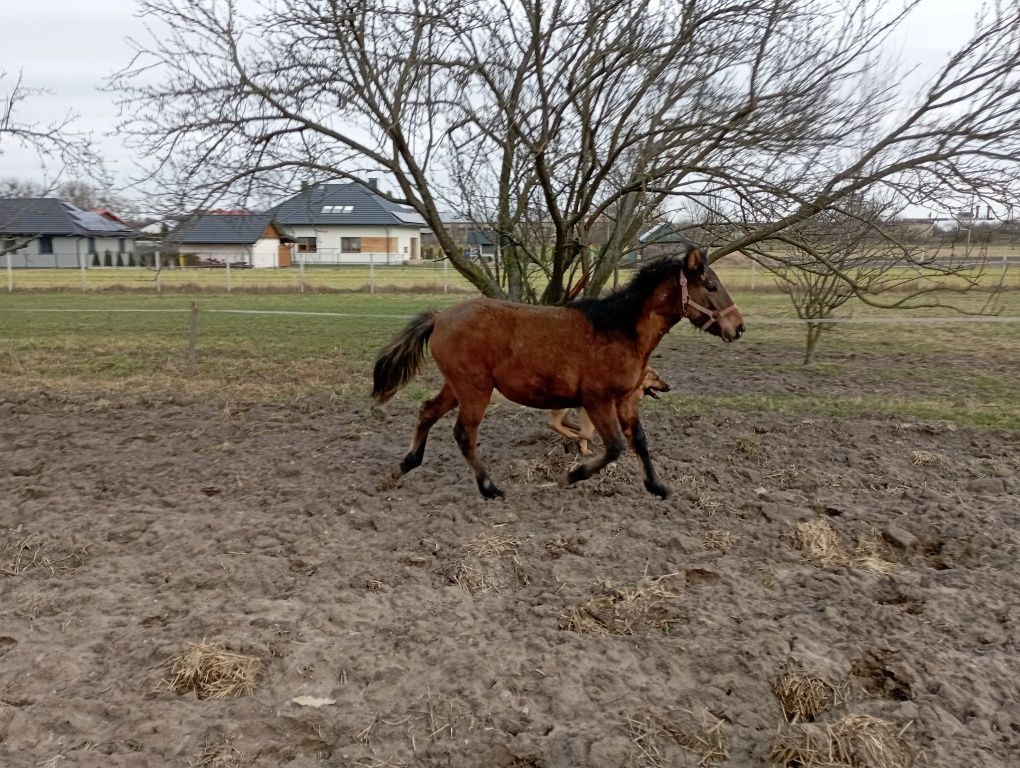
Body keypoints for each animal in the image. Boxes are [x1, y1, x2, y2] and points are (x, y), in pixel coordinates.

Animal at [371, 243, 746, 497]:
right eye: (711, 286)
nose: (738, 327)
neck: (617, 329)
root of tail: (440, 317)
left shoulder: (625, 400)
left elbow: (638, 440)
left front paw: (658, 486)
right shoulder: (597, 400)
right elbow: (614, 446)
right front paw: (570, 476)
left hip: (457, 386)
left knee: (427, 412)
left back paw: (404, 466)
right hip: (474, 390)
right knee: (464, 434)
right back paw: (490, 488)